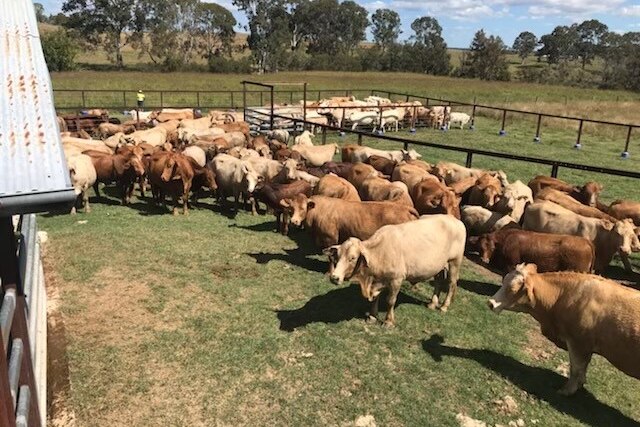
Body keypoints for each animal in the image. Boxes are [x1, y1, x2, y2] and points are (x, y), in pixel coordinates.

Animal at [330, 216, 464, 326]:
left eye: (352, 258)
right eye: (338, 255)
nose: (334, 277)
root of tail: (455, 220)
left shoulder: (396, 280)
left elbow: (390, 301)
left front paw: (388, 321)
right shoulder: (378, 280)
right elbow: (375, 298)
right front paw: (372, 316)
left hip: (454, 262)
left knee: (451, 284)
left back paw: (444, 306)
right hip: (439, 266)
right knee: (438, 281)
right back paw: (432, 303)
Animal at [488, 266, 640, 396]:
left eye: (512, 288)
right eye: (504, 280)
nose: (491, 303)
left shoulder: (579, 343)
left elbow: (576, 368)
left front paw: (567, 390)